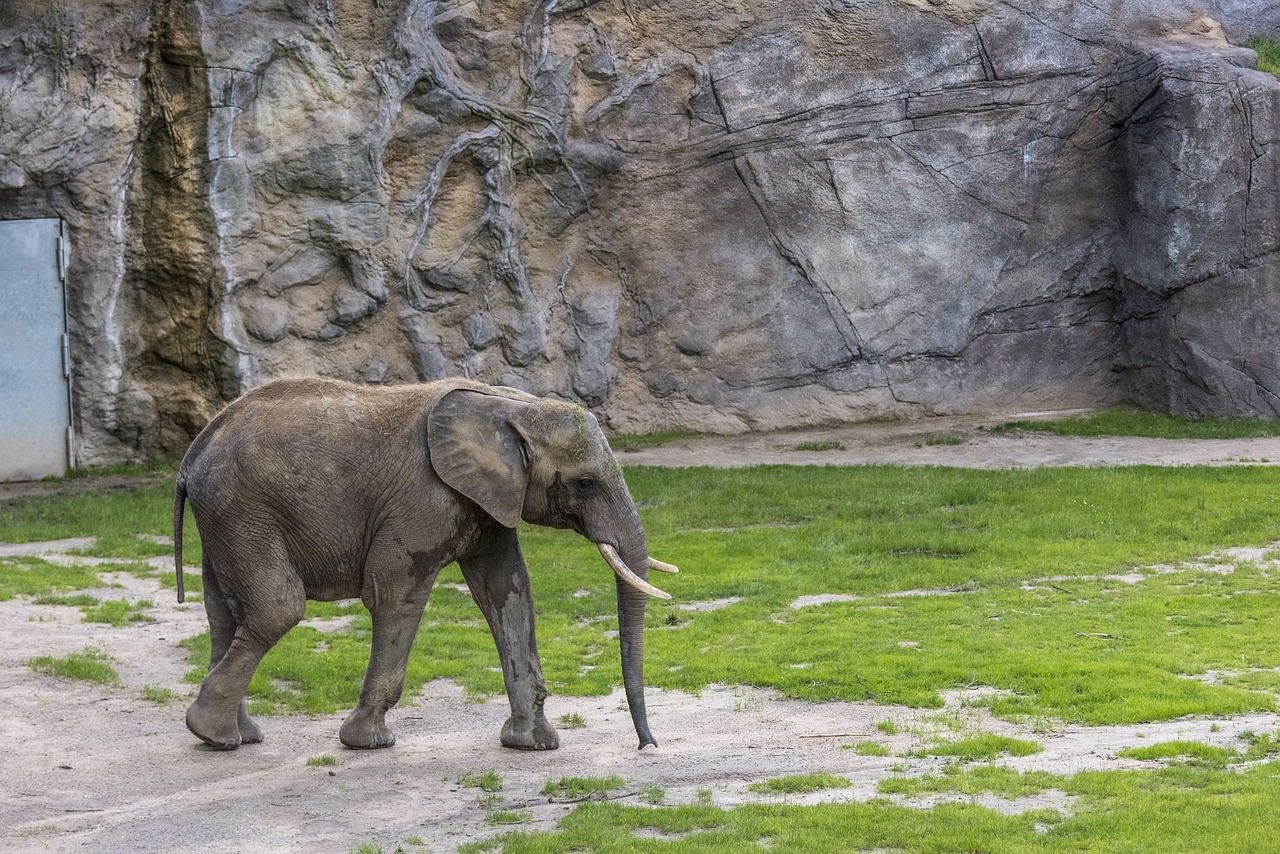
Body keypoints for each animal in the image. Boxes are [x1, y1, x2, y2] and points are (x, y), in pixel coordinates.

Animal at [175, 376, 686, 752]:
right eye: (584, 483)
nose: (648, 746)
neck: (511, 406)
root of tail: (195, 450)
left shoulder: (489, 500)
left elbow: (508, 592)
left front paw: (533, 744)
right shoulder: (423, 500)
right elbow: (394, 593)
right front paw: (368, 742)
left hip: (225, 517)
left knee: (225, 614)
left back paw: (234, 736)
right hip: (242, 509)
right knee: (276, 609)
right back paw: (213, 733)